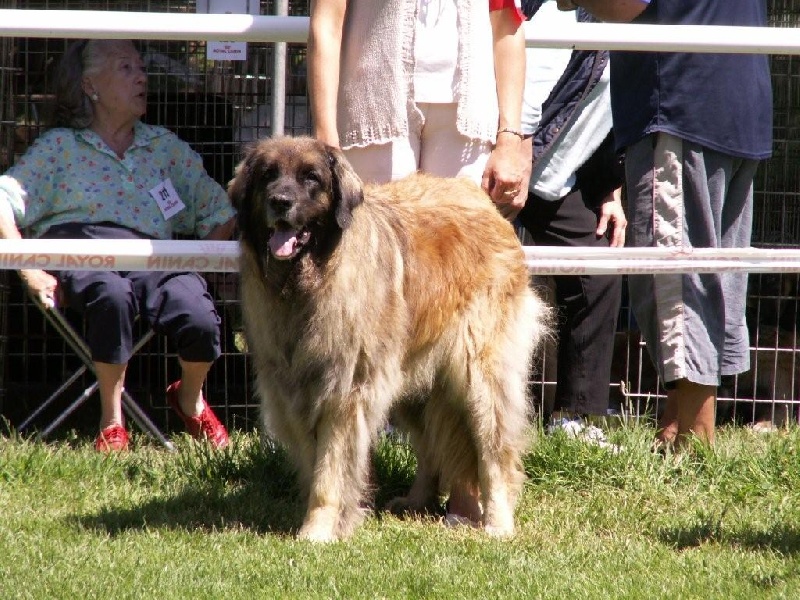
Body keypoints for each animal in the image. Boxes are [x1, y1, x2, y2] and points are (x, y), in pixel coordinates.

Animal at [230, 137, 552, 544]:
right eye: (268, 175)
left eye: (311, 178)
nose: (280, 202)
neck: (309, 280)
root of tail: (486, 205)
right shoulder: (293, 393)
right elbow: (314, 461)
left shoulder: (342, 393)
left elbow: (328, 472)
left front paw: (317, 531)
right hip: (410, 378)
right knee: (431, 443)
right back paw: (417, 501)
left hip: (480, 375)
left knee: (495, 452)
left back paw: (498, 523)